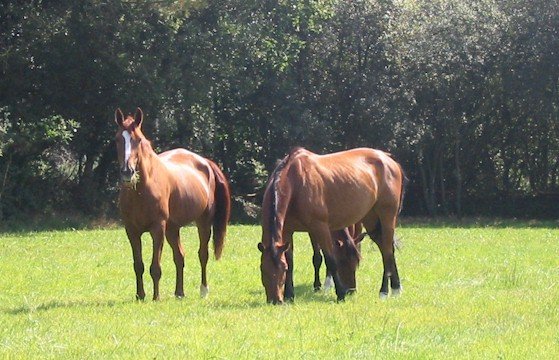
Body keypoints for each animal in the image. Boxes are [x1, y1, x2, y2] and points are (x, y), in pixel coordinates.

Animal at [114, 108, 232, 300]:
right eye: (117, 139)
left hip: (203, 222)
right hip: (172, 228)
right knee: (180, 256)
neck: (141, 191)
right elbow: (138, 265)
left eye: (138, 140)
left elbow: (155, 267)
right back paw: (179, 293)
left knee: (203, 254)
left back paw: (203, 290)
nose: (127, 171)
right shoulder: (131, 230)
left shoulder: (158, 229)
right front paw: (140, 295)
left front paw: (156, 297)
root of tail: (205, 162)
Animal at [258, 147, 406, 304]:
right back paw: (394, 288)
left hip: (387, 217)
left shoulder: (320, 228)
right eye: (262, 269)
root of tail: (390, 160)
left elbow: (330, 260)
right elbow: (291, 261)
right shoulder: (287, 231)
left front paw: (340, 295)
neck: (296, 182)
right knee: (385, 249)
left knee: (387, 251)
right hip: (371, 219)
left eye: (282, 269)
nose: (275, 300)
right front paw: (289, 296)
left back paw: (387, 291)